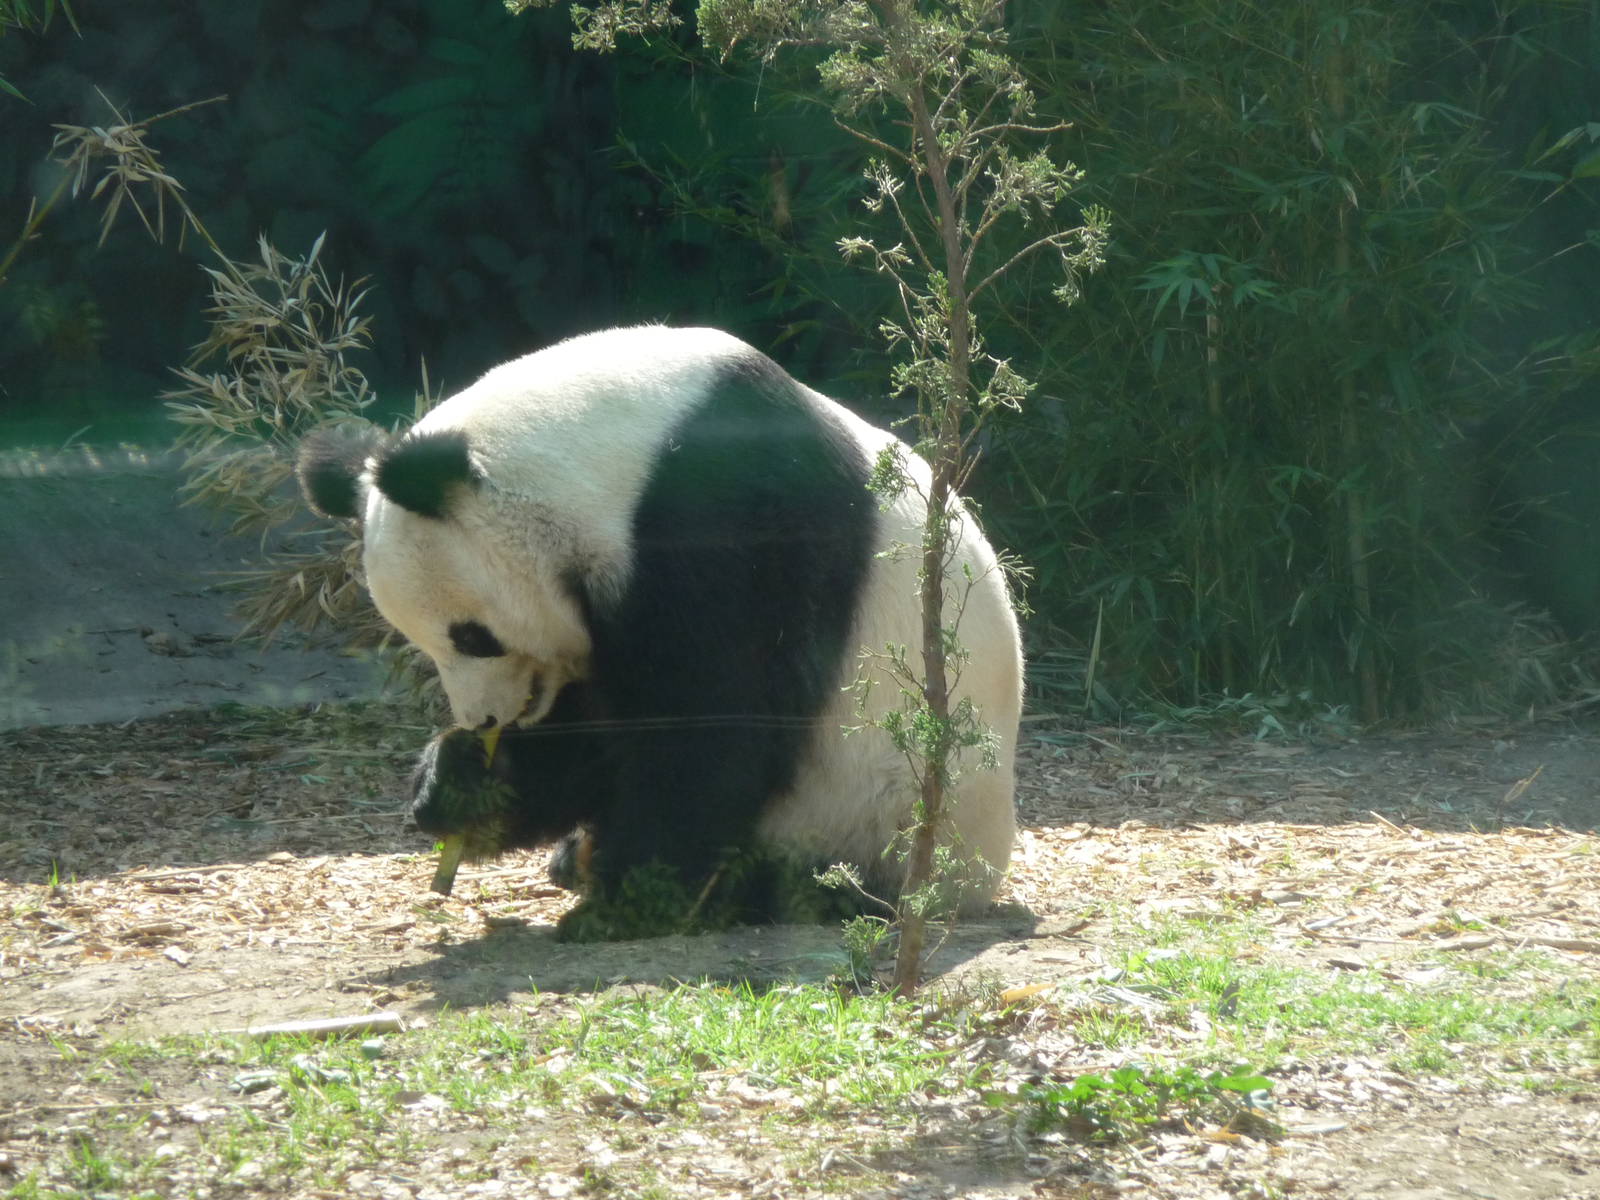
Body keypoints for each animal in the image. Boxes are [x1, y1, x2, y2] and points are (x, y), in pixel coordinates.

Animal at [296, 325, 1021, 940]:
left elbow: (710, 716)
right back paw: (570, 856)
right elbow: (596, 728)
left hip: (875, 820)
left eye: (472, 636)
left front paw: (626, 902)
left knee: (809, 874)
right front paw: (463, 785)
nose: (484, 719)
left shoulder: (724, 518)